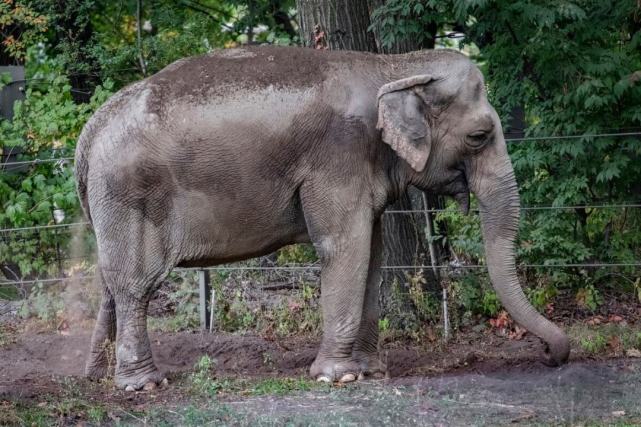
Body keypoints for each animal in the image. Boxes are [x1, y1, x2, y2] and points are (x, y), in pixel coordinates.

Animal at [75, 46, 568, 392]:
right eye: (479, 136)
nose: (553, 354)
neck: (393, 66)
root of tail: (89, 133)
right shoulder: (337, 155)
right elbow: (344, 246)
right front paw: (338, 377)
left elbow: (372, 253)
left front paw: (370, 371)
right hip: (131, 193)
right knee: (136, 284)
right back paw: (142, 385)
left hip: (110, 202)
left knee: (110, 282)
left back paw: (95, 375)